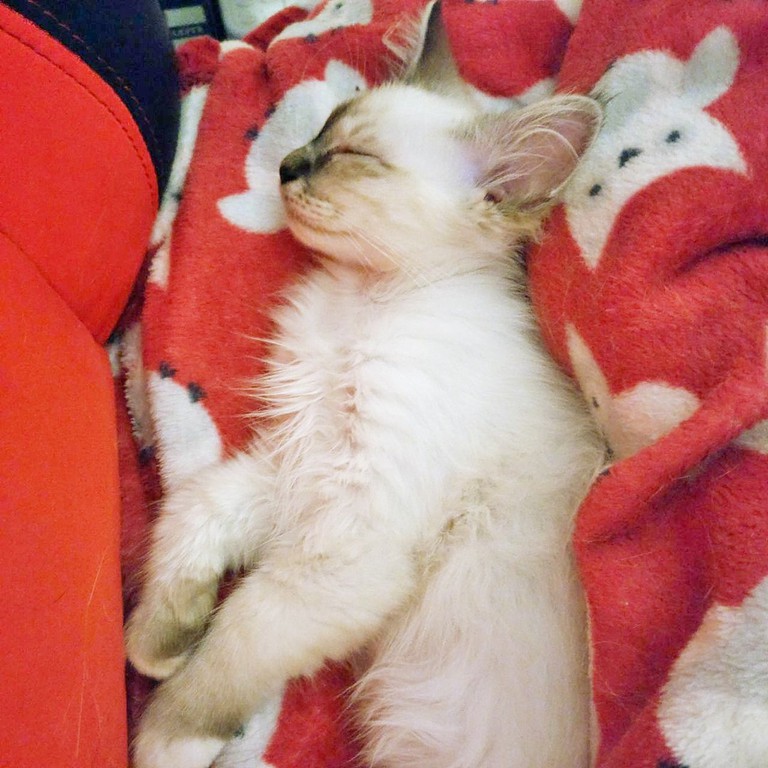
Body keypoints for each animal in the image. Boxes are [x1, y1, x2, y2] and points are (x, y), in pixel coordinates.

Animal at [125, 10, 605, 768]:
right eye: (322, 131)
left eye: (352, 157)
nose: (286, 164)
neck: (360, 304)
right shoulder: (291, 466)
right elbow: (194, 514)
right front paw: (155, 646)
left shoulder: (352, 537)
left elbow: (238, 638)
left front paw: (166, 735)